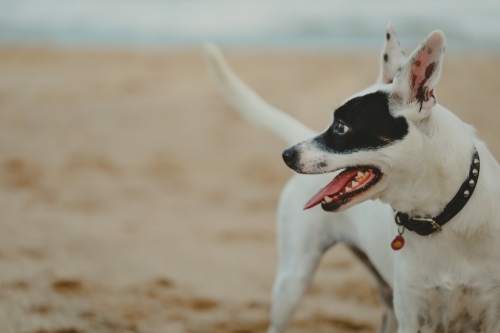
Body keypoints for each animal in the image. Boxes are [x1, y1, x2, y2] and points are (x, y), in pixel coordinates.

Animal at [202, 24, 500, 332]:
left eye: (341, 127)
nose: (286, 155)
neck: (440, 216)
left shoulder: (489, 313)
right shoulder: (412, 315)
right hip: (293, 281)